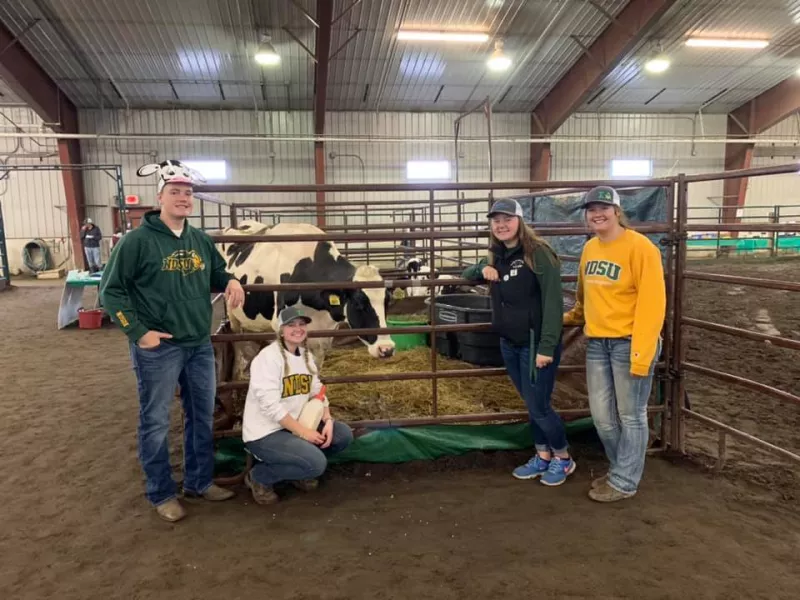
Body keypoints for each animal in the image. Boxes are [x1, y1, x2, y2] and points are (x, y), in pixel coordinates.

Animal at [217, 221, 396, 366]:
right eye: (358, 304)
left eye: (387, 302)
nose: (386, 349)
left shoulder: (324, 334)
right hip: (233, 315)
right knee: (238, 343)